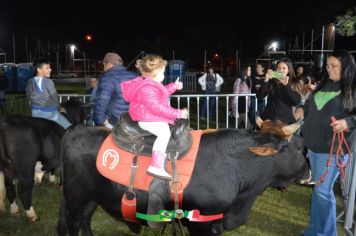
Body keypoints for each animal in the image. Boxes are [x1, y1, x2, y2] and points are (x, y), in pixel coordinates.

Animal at [57, 121, 308, 235]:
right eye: (298, 149)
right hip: (75, 197)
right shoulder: (201, 222)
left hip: (93, 197)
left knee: (85, 220)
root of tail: (75, 129)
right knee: (74, 222)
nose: (309, 172)